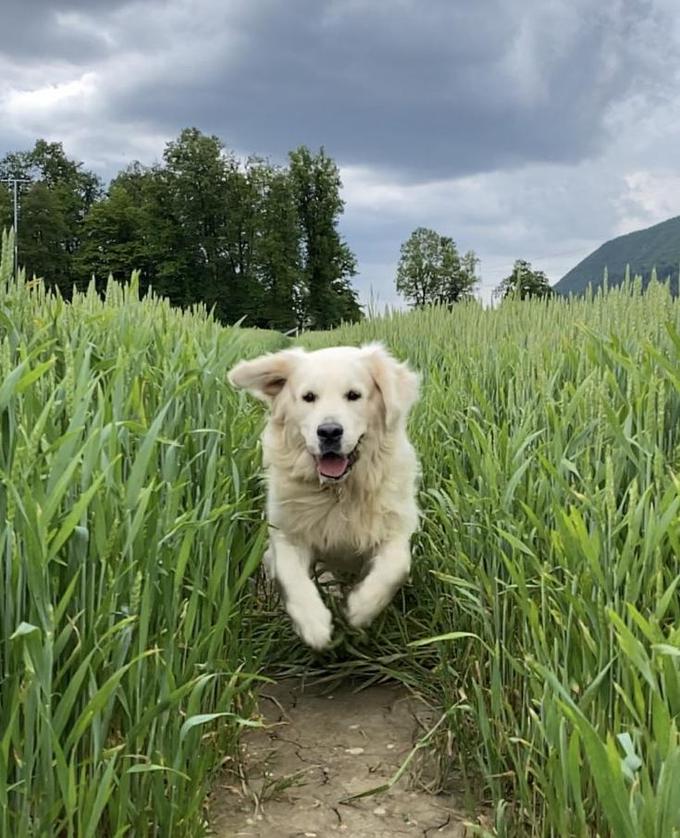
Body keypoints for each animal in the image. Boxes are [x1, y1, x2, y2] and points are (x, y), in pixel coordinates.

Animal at [228, 342, 420, 648]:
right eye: (309, 397)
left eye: (353, 395)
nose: (329, 431)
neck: (338, 490)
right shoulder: (286, 532)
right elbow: (292, 576)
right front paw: (314, 625)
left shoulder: (395, 527)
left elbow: (396, 568)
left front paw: (360, 608)